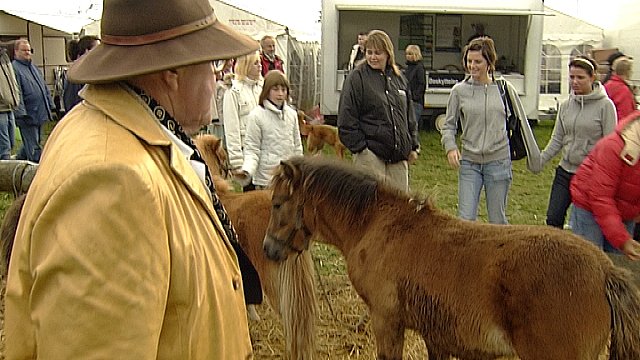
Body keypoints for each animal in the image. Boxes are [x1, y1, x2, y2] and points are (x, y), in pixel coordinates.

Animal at [264, 156, 640, 360]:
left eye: (278, 203)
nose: (268, 249)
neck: (376, 224)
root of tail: (606, 271)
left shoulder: (387, 322)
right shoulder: (437, 335)